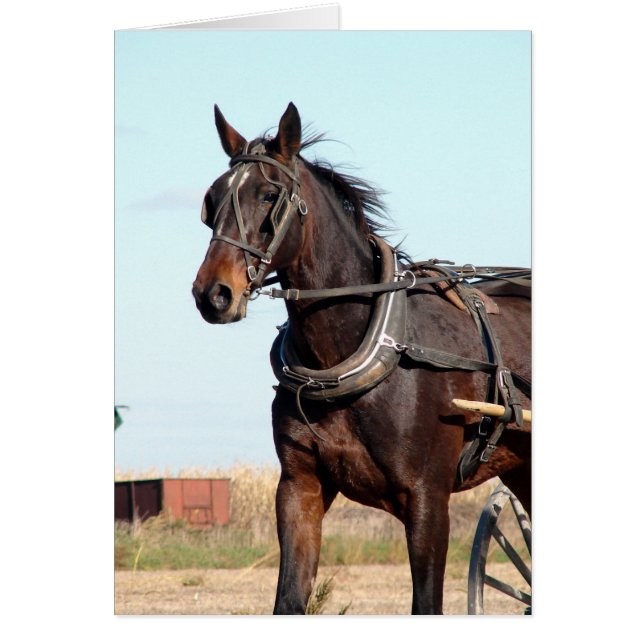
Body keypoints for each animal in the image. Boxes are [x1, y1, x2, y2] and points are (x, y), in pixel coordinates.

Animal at [192, 103, 531, 614]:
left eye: (270, 195)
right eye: (212, 200)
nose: (213, 293)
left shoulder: (428, 500)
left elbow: (426, 604)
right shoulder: (299, 489)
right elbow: (289, 599)